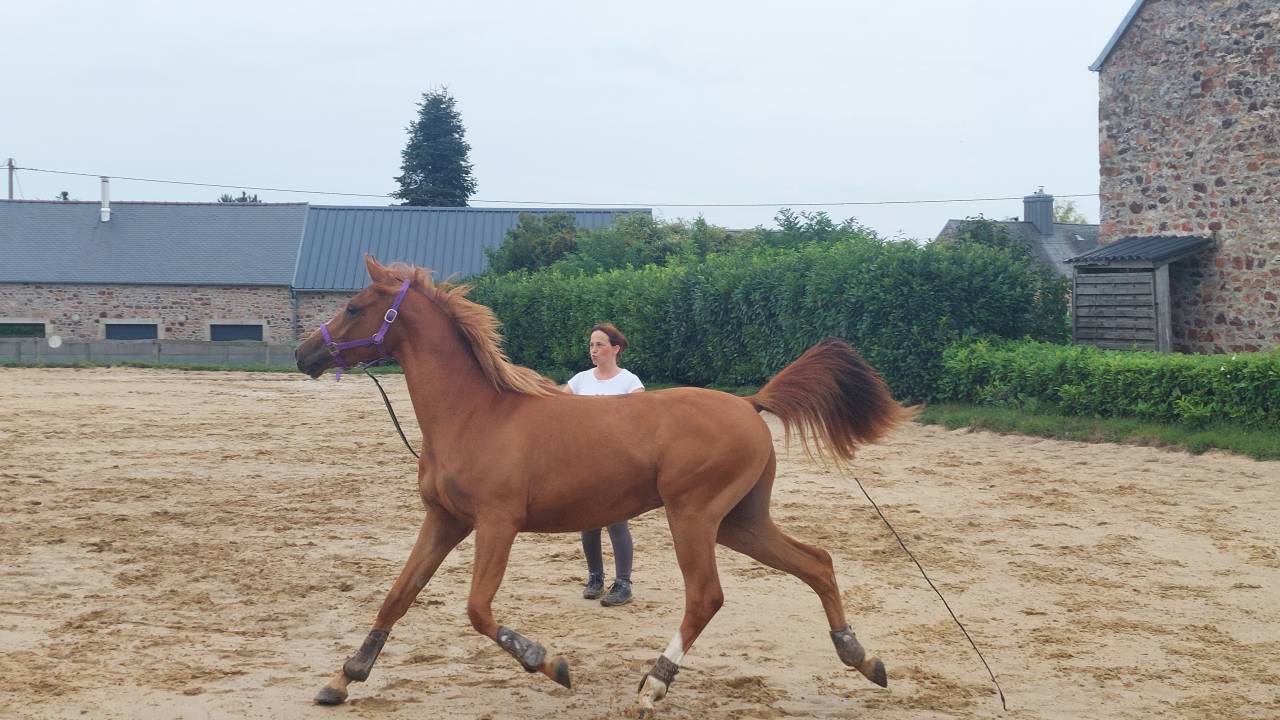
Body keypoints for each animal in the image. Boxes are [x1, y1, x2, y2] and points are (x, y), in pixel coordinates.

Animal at [294, 256, 907, 716]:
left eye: (353, 307)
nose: (304, 354)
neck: (473, 414)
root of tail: (750, 403)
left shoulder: (497, 523)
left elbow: (477, 610)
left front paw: (549, 663)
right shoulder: (445, 520)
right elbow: (398, 596)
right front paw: (344, 678)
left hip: (694, 516)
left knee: (706, 596)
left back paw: (654, 687)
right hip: (741, 522)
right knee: (817, 562)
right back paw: (863, 659)